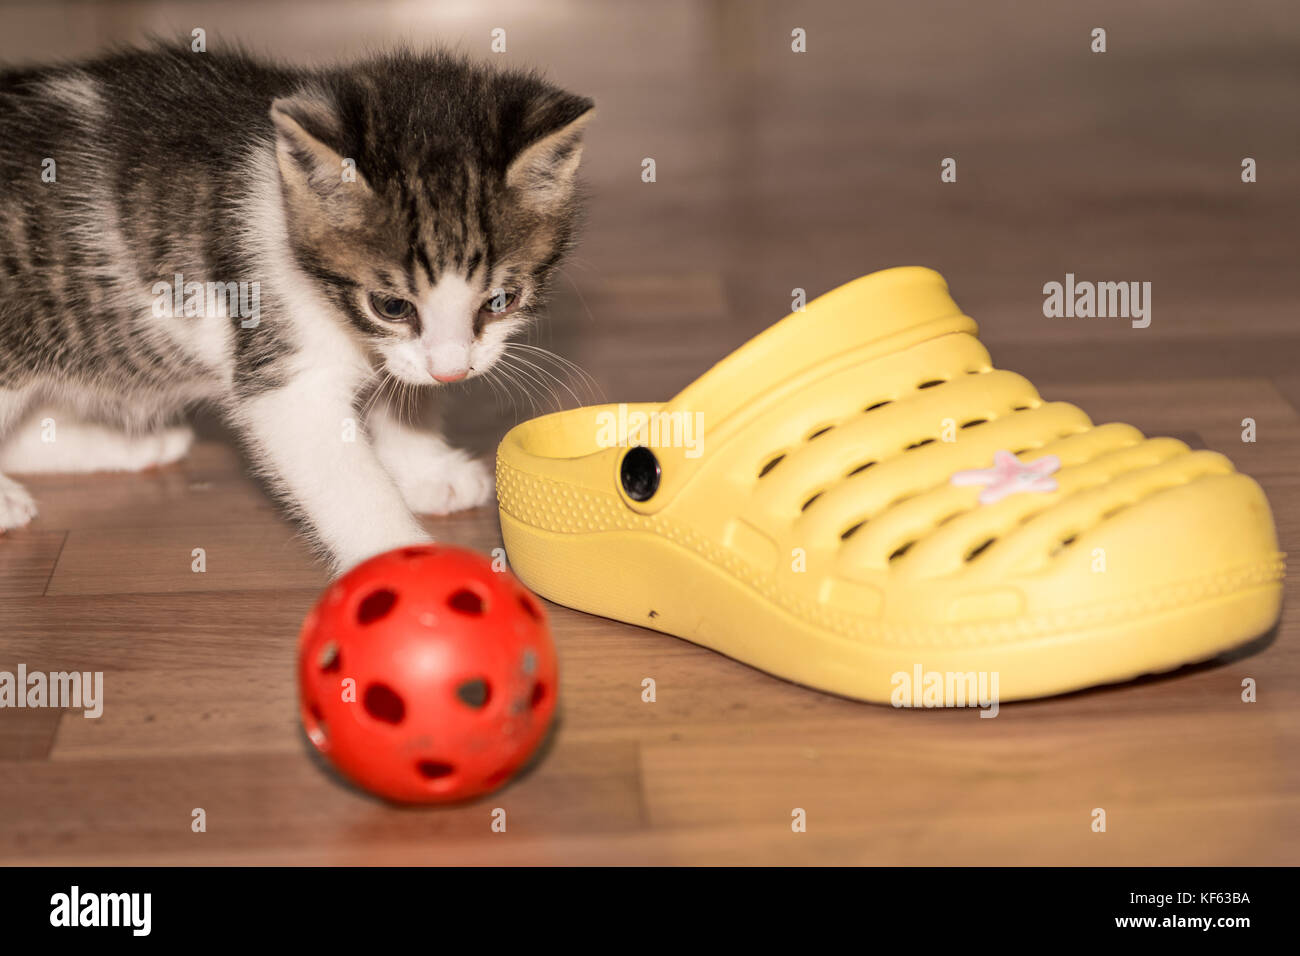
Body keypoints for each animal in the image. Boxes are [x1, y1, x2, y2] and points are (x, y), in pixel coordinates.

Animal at [0, 42, 595, 567]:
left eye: (501, 299)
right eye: (390, 306)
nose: (452, 372)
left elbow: (403, 392)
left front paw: (427, 468)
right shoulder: (281, 361)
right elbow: (344, 477)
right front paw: (401, 560)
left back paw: (138, 446)